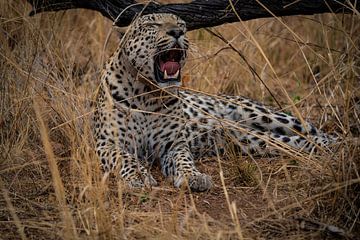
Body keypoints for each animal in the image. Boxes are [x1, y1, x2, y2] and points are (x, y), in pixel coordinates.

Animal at [93, 13, 338, 192]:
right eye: (153, 24)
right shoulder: (107, 144)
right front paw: (138, 176)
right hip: (251, 140)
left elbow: (184, 161)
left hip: (264, 115)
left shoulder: (174, 145)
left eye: (181, 24)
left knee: (315, 132)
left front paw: (194, 176)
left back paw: (340, 146)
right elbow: (125, 158)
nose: (177, 32)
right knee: (297, 141)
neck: (147, 94)